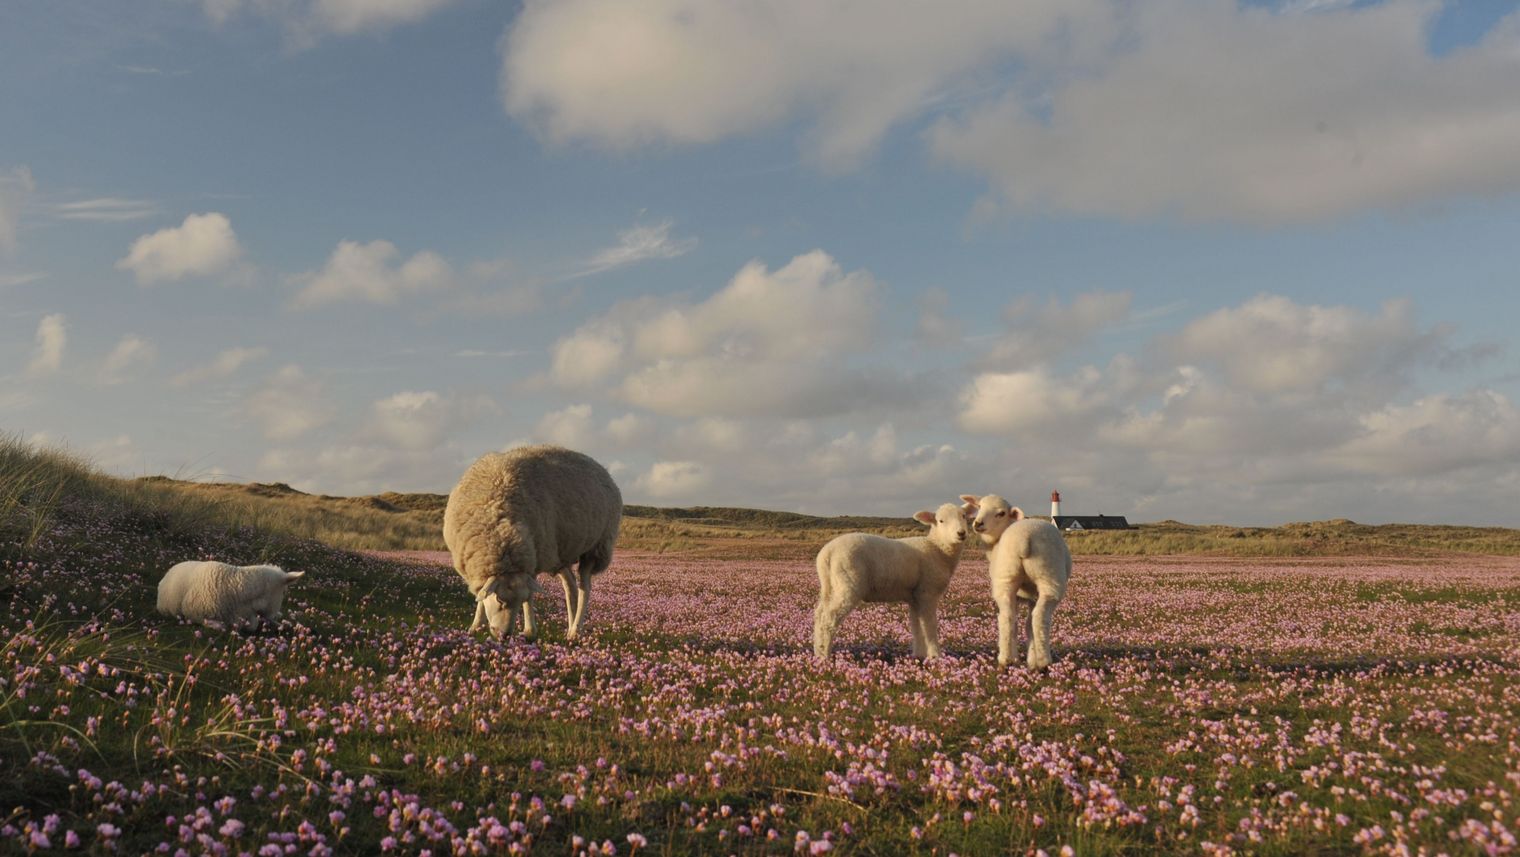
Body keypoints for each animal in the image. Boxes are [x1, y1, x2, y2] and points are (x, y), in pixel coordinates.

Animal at [443, 444, 622, 641]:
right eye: (499, 600)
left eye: (518, 601)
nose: (504, 636)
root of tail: (604, 470)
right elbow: (482, 595)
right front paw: (475, 626)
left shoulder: (534, 558)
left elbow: (529, 599)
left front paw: (529, 630)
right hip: (562, 552)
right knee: (570, 586)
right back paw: (569, 627)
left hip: (595, 548)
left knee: (585, 588)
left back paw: (576, 630)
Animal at [812, 501, 972, 661]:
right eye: (941, 521)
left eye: (964, 516)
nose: (961, 533)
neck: (938, 549)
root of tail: (827, 553)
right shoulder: (927, 592)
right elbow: (930, 625)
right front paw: (935, 656)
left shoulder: (915, 596)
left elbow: (917, 626)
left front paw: (919, 655)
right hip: (848, 583)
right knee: (828, 619)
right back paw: (825, 656)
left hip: (831, 585)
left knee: (819, 615)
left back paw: (817, 652)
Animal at [962, 494, 1072, 669]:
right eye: (980, 506)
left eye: (1001, 513)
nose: (978, 523)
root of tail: (1025, 538)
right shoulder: (1030, 596)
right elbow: (1027, 624)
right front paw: (1031, 659)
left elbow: (1025, 625)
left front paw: (1028, 658)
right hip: (1049, 578)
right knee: (1036, 617)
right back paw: (1040, 662)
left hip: (1008, 579)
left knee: (1008, 617)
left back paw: (1009, 660)